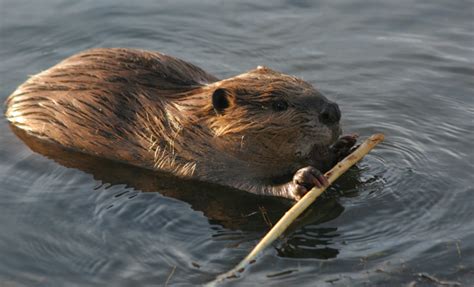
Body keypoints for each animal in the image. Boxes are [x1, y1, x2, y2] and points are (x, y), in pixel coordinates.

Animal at [4, 47, 356, 200]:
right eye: (279, 104)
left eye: (305, 82)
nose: (332, 111)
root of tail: (12, 99)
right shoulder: (196, 160)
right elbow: (248, 186)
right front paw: (303, 180)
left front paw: (345, 145)